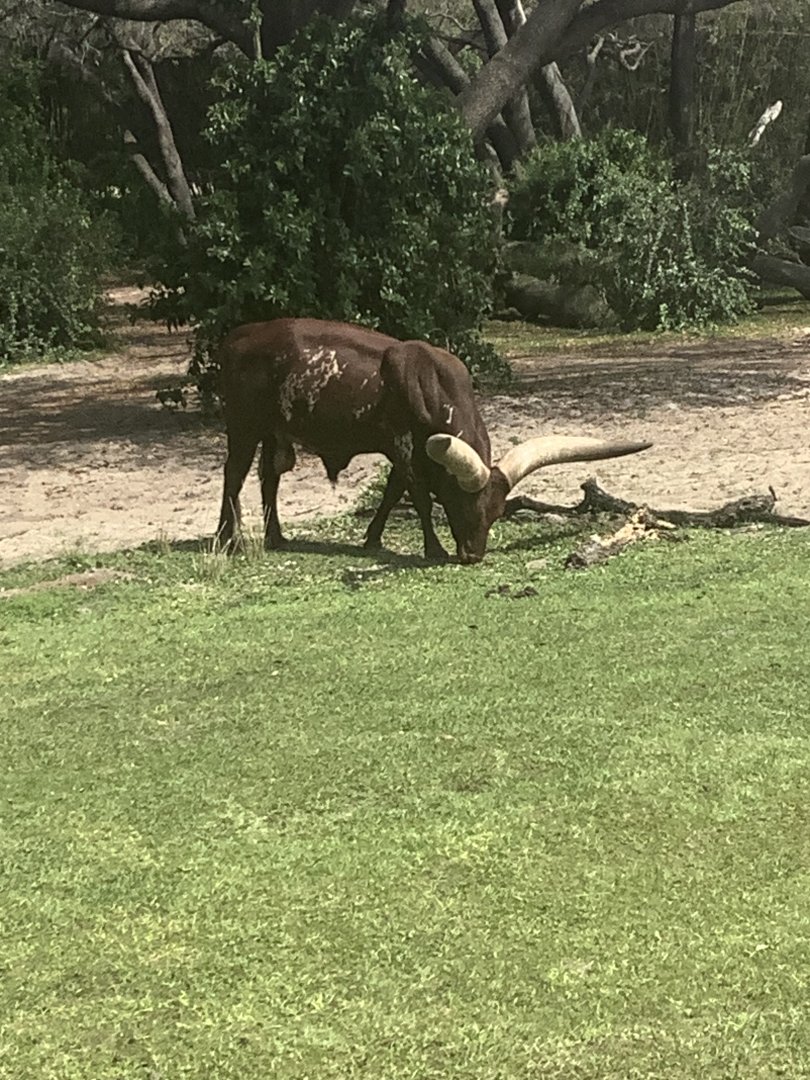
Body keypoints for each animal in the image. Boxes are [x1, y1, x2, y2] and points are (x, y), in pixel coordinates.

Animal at [216, 318, 651, 564]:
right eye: (462, 507)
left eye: (495, 514)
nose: (472, 556)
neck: (433, 385)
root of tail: (238, 336)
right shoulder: (404, 445)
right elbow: (419, 497)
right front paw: (434, 548)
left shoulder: (408, 451)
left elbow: (392, 492)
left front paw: (372, 539)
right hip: (242, 426)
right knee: (234, 475)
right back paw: (226, 540)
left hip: (273, 431)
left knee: (269, 477)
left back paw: (276, 536)